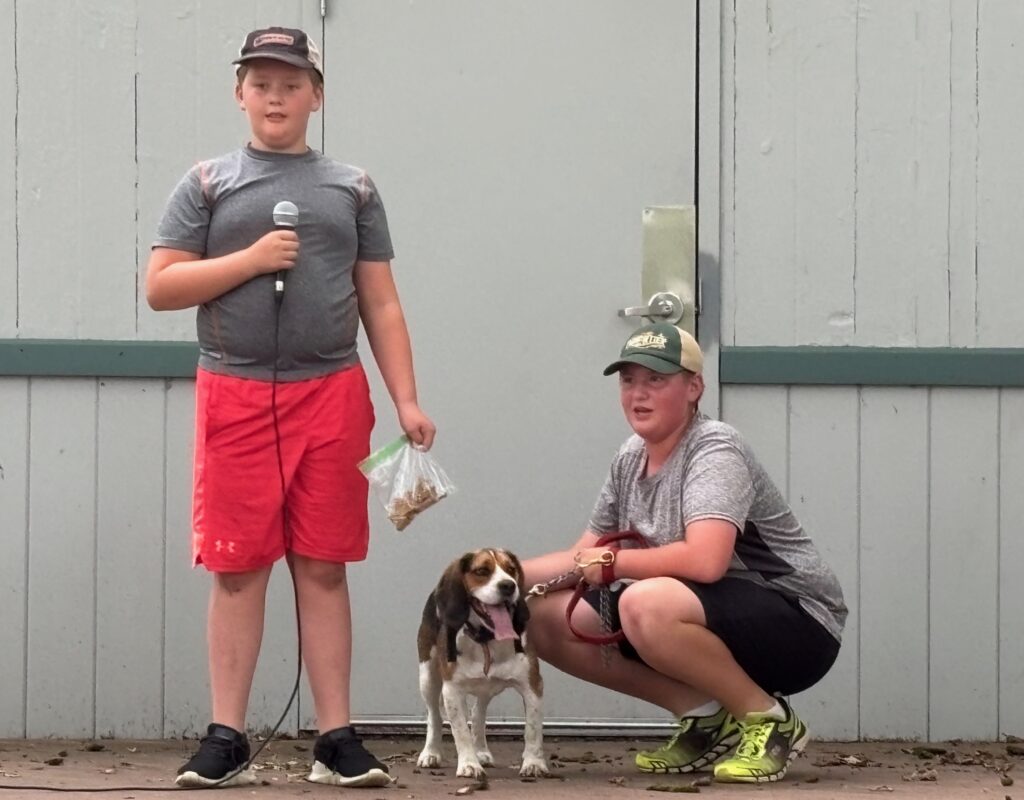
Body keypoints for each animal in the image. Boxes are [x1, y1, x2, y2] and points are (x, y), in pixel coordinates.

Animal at [416, 548, 549, 779]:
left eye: (511, 569)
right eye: (481, 571)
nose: (508, 585)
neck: (487, 639)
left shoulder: (532, 685)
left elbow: (532, 729)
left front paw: (533, 763)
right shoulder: (452, 690)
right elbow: (460, 731)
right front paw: (469, 764)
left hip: (487, 688)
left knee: (478, 713)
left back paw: (481, 752)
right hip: (428, 678)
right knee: (434, 716)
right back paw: (431, 753)